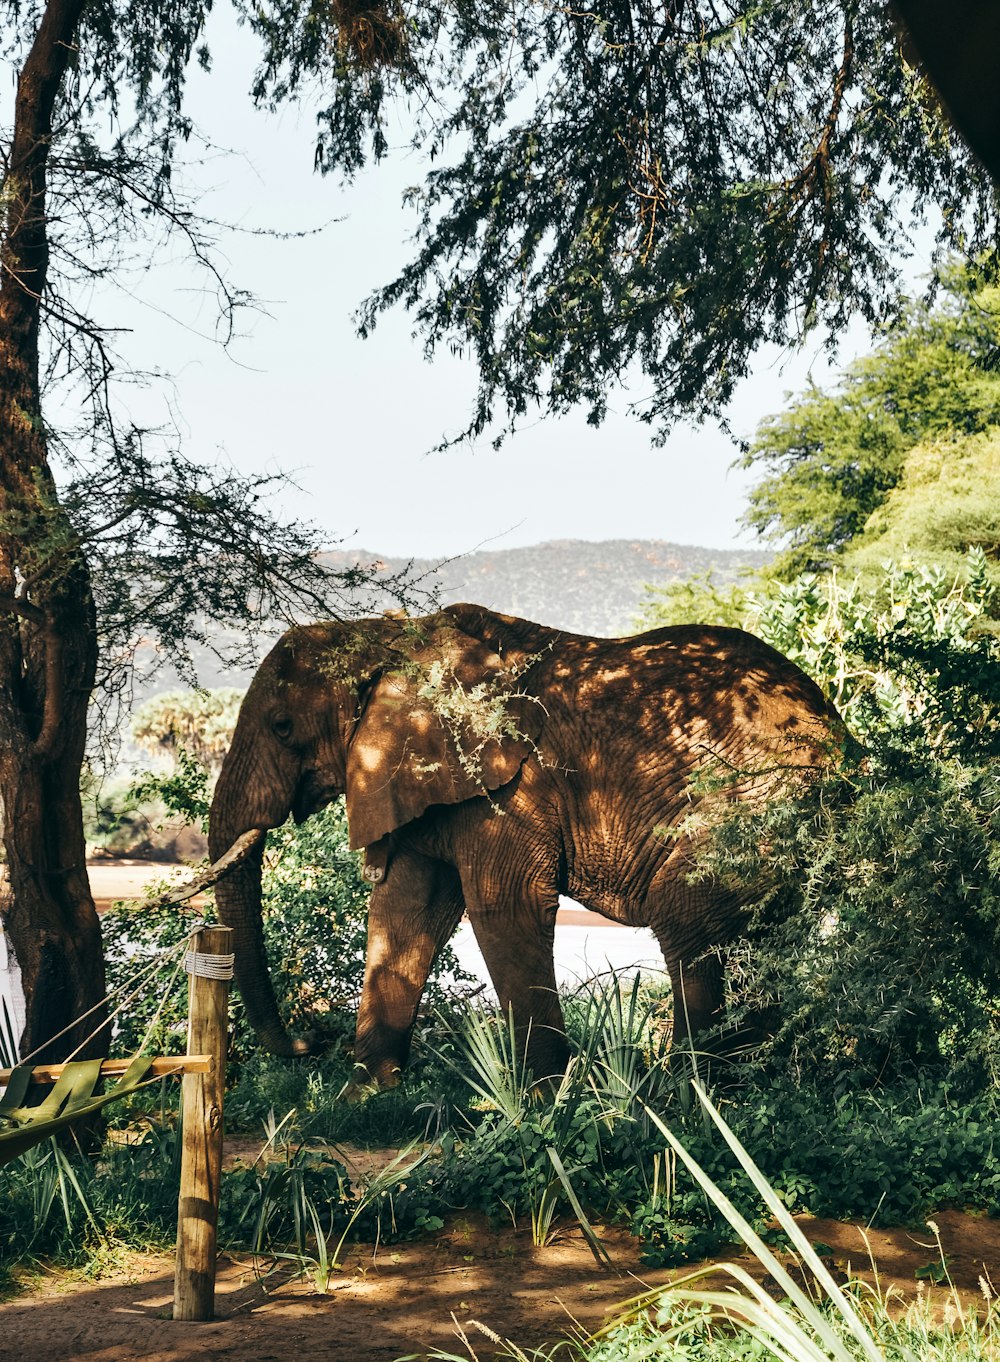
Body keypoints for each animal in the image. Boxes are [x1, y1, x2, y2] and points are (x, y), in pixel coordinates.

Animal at [209, 604, 844, 1084]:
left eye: (282, 727)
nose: (310, 1040)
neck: (396, 641)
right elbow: (405, 910)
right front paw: (367, 1098)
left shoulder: (513, 783)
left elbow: (503, 905)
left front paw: (545, 1104)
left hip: (759, 804)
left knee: (686, 919)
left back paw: (687, 1103)